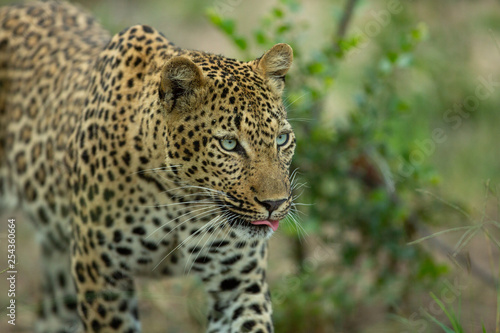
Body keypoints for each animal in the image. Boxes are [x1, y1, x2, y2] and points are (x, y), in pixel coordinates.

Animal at [0, 0, 296, 332]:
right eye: (229, 144)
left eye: (282, 138)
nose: (275, 204)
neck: (181, 199)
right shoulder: (101, 275)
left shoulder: (239, 284)